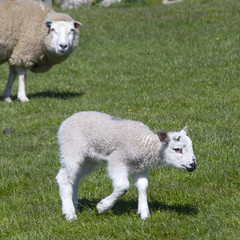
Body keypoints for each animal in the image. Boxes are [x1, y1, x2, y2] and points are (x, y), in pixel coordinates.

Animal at [56, 111, 197, 220]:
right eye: (177, 149)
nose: (193, 165)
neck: (146, 146)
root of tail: (68, 120)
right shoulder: (117, 160)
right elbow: (123, 186)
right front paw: (102, 206)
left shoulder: (140, 168)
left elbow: (143, 186)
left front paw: (144, 213)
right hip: (72, 147)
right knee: (63, 177)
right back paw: (69, 214)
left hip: (89, 159)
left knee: (75, 178)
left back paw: (74, 206)